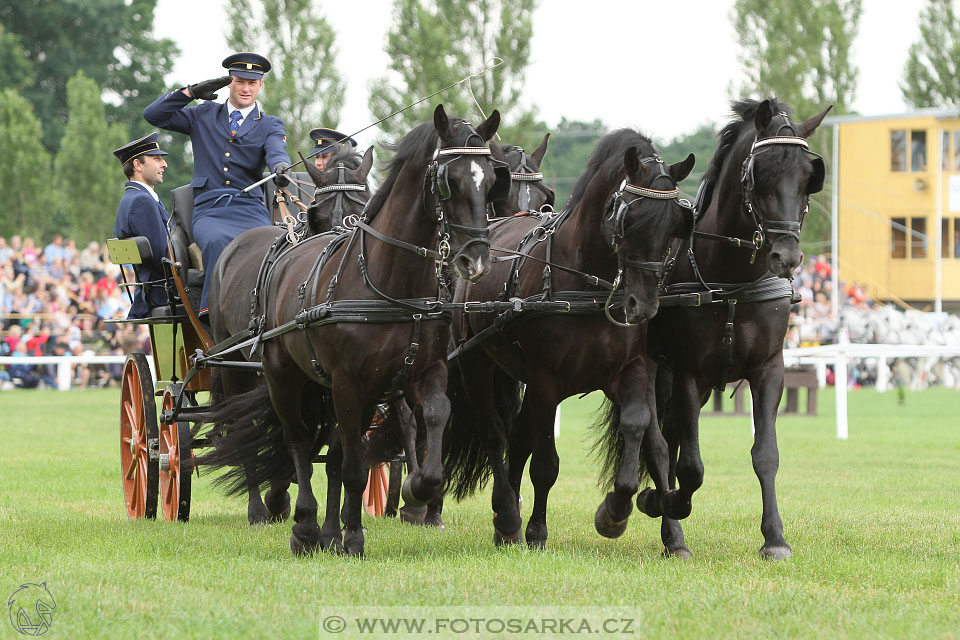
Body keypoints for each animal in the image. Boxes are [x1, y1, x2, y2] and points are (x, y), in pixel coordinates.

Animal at [201, 106, 502, 556]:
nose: (475, 260)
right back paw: (299, 523)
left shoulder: (422, 373)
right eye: (447, 181)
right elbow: (354, 467)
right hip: (272, 374)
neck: (391, 284)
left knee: (328, 450)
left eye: (491, 178)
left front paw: (417, 492)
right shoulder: (348, 382)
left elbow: (432, 417)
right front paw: (353, 537)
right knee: (294, 440)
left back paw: (325, 528)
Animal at [446, 129, 692, 544]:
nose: (642, 306)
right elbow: (546, 463)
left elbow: (637, 428)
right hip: (475, 364)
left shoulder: (632, 369)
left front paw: (616, 510)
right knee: (495, 433)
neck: (586, 278)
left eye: (675, 223)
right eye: (630, 217)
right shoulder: (545, 380)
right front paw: (536, 530)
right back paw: (506, 516)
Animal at [632, 97, 828, 556]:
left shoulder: (768, 368)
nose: (787, 256)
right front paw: (668, 504)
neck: (732, 282)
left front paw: (774, 537)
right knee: (658, 442)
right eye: (762, 173)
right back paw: (669, 525)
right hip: (654, 369)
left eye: (808, 176)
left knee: (671, 434)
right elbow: (691, 465)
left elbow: (766, 453)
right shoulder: (688, 371)